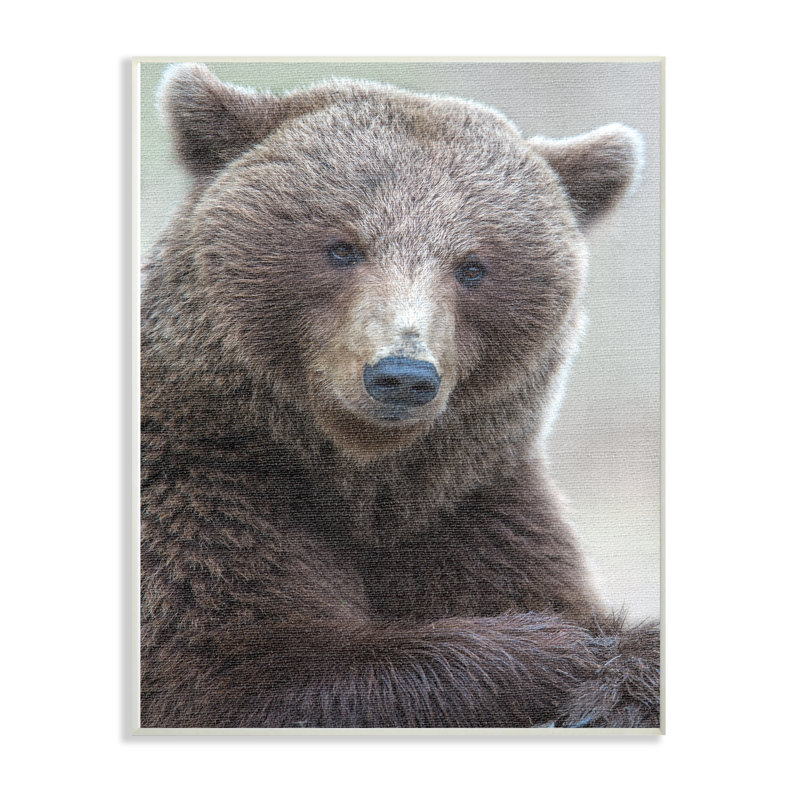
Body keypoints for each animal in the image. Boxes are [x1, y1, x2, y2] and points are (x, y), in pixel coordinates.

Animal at [140, 63, 660, 729]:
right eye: (342, 246)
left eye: (473, 266)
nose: (402, 374)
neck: (358, 482)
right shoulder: (199, 488)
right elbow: (234, 673)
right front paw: (563, 654)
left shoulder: (469, 510)